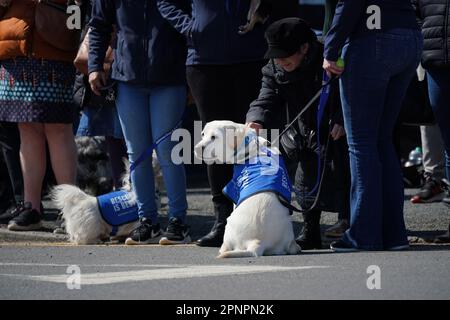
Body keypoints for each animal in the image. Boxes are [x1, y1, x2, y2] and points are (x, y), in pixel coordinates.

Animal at [195, 120, 300, 258]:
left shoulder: (235, 193)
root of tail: (257, 242)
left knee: (226, 246)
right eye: (203, 134)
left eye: (214, 137)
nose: (197, 148)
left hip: (229, 223)